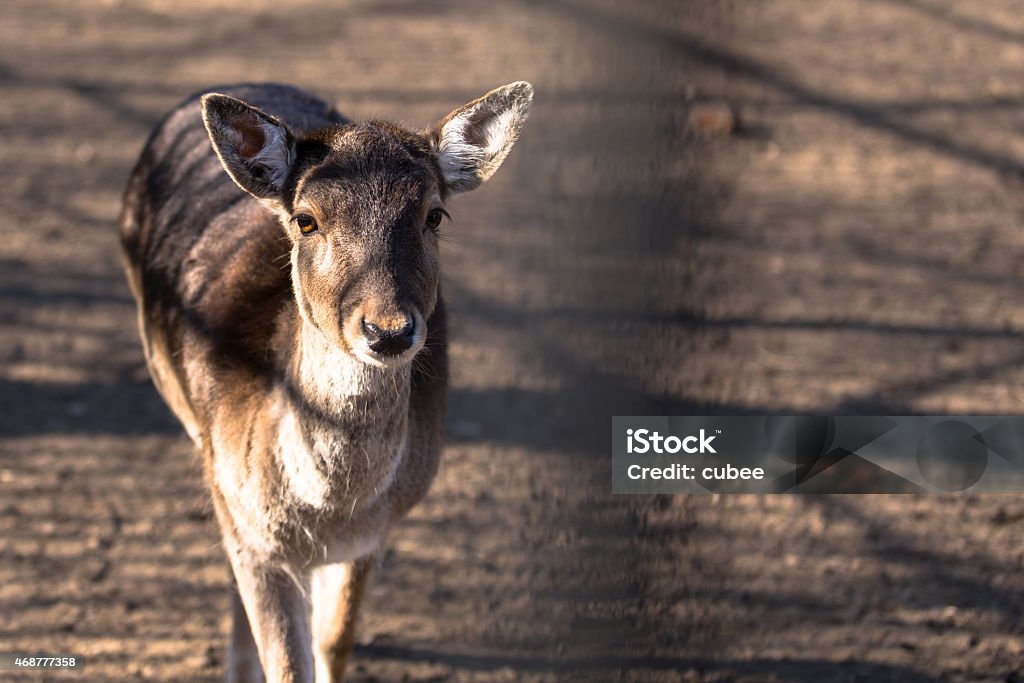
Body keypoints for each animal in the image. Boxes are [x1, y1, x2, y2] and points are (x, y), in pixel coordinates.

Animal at [118, 81, 532, 683]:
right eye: (307, 220)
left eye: (434, 215)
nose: (388, 331)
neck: (328, 509)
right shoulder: (252, 529)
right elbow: (287, 661)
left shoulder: (373, 534)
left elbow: (333, 640)